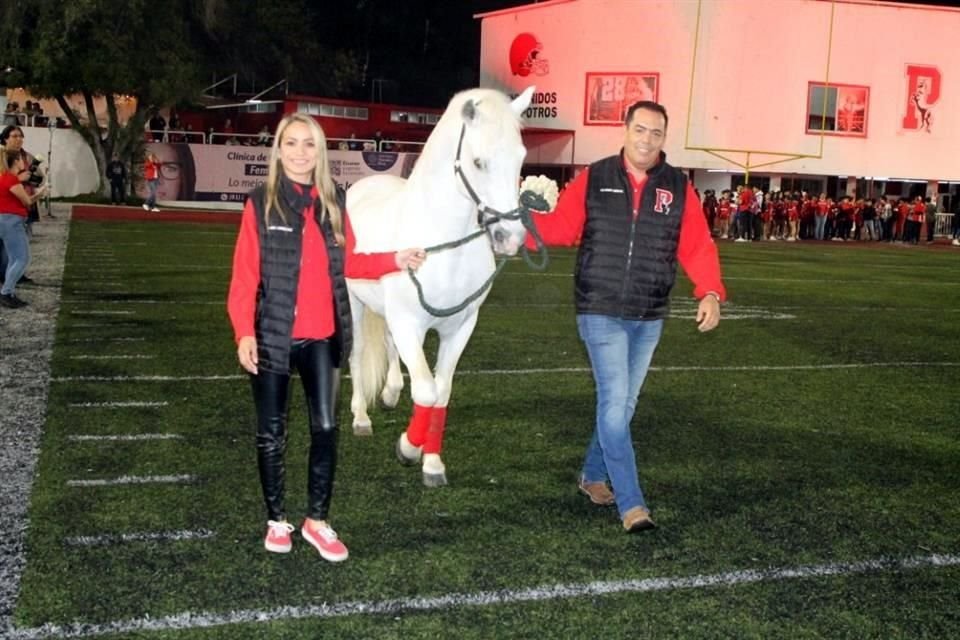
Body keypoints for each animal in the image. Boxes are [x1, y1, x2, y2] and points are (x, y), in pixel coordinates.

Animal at [346, 85, 540, 484]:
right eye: (479, 162)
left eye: (521, 158)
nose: (510, 238)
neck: (443, 246)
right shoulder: (409, 322)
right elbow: (426, 390)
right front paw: (408, 449)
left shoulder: (460, 327)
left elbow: (442, 391)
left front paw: (432, 464)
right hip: (354, 301)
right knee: (357, 354)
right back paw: (361, 417)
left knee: (390, 348)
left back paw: (390, 394)